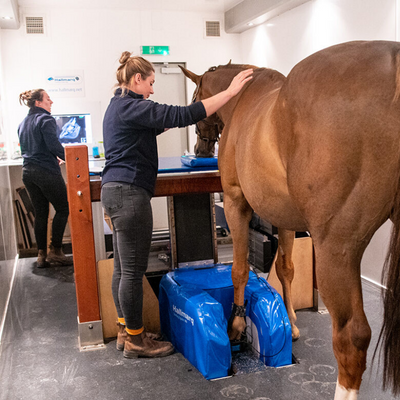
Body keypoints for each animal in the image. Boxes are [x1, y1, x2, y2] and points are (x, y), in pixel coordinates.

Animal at [182, 41, 400, 400]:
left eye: (195, 100)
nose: (201, 150)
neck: (243, 99)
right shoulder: (283, 216)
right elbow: (285, 268)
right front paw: (292, 322)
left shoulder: (236, 202)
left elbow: (239, 269)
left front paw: (237, 325)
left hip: (336, 250)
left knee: (351, 338)